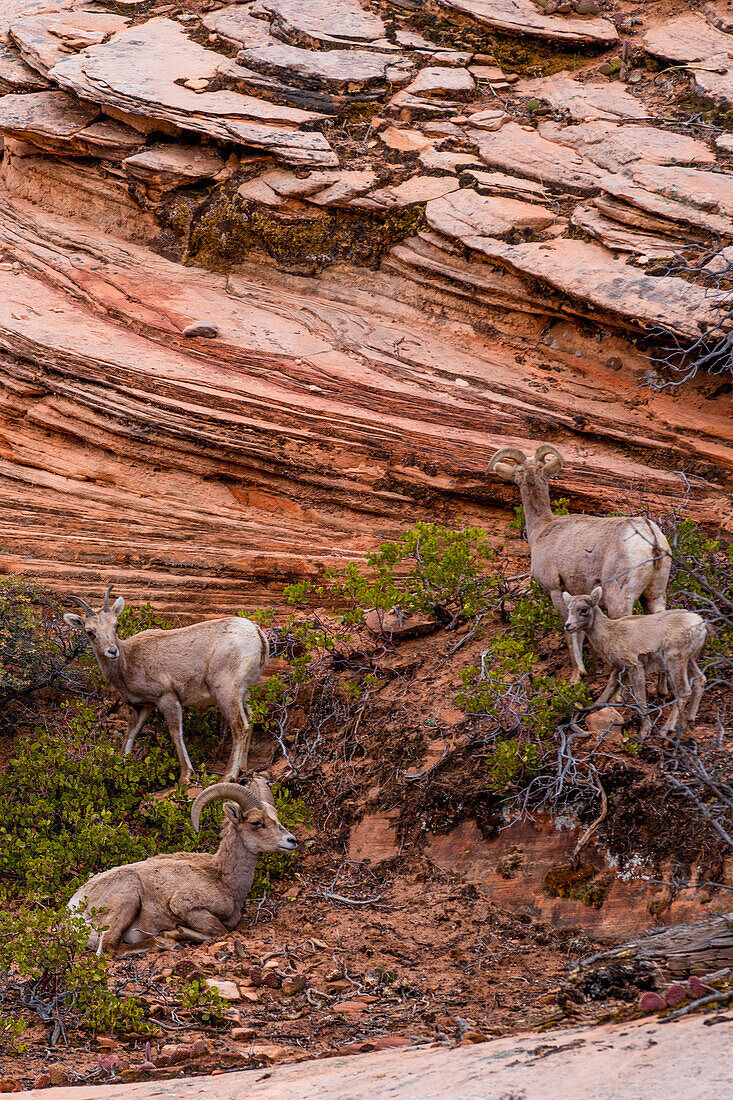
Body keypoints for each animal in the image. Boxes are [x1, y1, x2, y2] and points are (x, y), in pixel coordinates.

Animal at [62, 589, 268, 787]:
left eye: (116, 625)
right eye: (90, 632)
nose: (112, 651)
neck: (128, 662)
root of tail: (256, 632)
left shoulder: (167, 698)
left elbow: (176, 733)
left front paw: (185, 777)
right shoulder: (143, 706)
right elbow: (130, 736)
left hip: (225, 690)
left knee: (239, 726)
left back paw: (227, 777)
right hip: (242, 693)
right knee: (249, 721)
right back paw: (243, 770)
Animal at [67, 778, 297, 950]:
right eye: (257, 822)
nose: (292, 841)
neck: (222, 878)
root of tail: (74, 910)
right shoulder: (186, 906)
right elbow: (219, 931)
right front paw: (175, 932)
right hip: (128, 898)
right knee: (108, 948)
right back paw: (166, 943)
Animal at [484, 444, 669, 677]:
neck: (542, 530)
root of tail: (651, 538)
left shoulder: (556, 591)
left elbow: (572, 634)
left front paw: (577, 675)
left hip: (619, 598)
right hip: (655, 595)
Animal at [559, 589, 708, 734]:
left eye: (583, 609)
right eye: (569, 608)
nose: (568, 625)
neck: (609, 635)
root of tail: (701, 626)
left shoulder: (634, 666)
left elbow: (639, 696)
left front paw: (645, 730)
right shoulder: (620, 668)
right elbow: (607, 691)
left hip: (675, 660)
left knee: (684, 690)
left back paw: (665, 730)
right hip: (689, 660)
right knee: (700, 680)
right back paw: (689, 718)